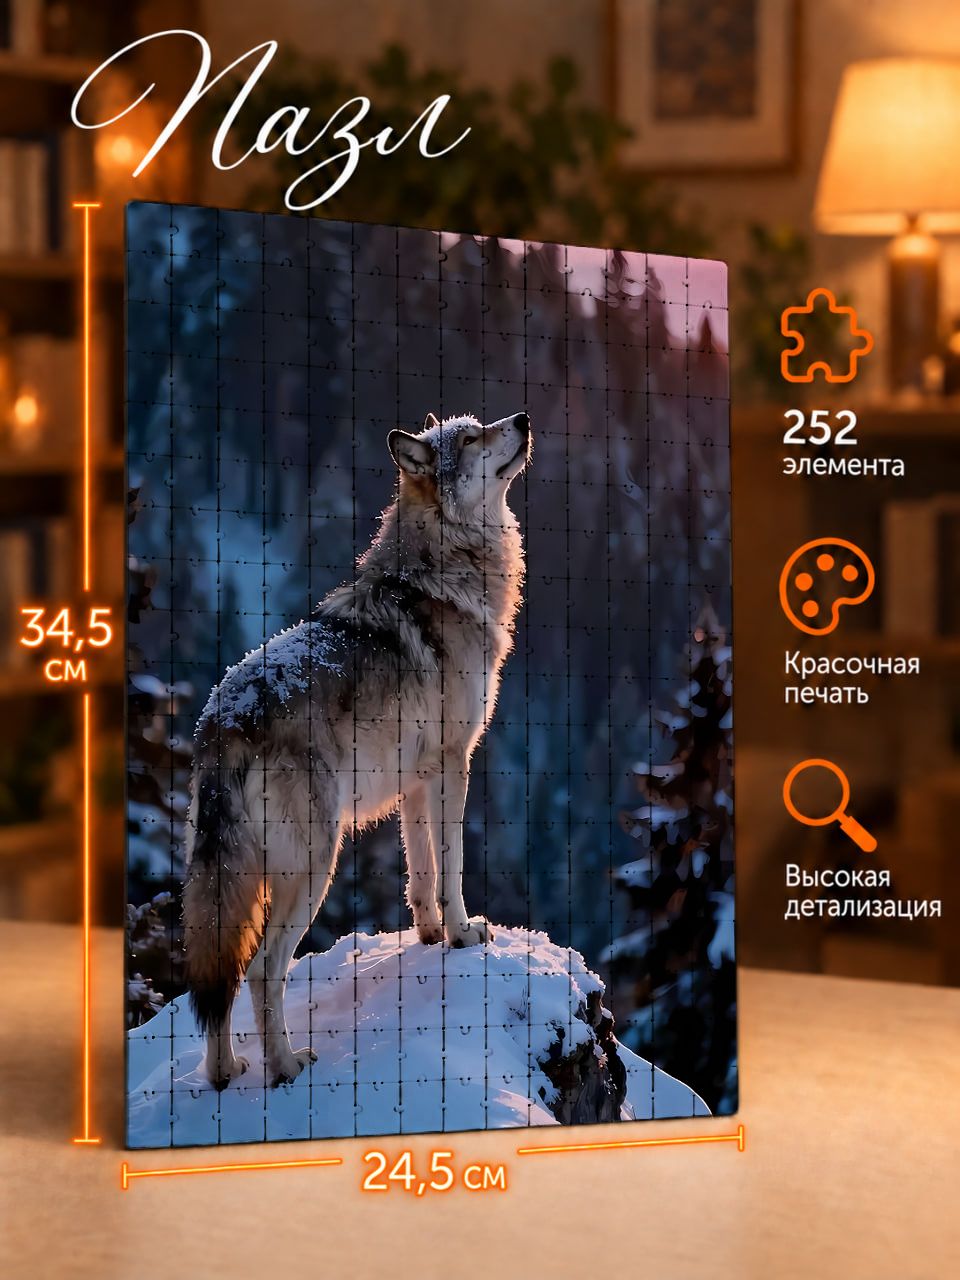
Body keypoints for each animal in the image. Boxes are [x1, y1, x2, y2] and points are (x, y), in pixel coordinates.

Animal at [182, 411, 531, 1089]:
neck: (444, 575)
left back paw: (226, 1073)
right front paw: (464, 936)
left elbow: (421, 874)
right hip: (315, 863)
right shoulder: (454, 763)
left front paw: (430, 938)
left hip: (243, 879)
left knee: (227, 970)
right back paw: (286, 1067)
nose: (524, 419)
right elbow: (451, 868)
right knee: (263, 967)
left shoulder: (417, 781)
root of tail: (224, 719)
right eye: (471, 438)